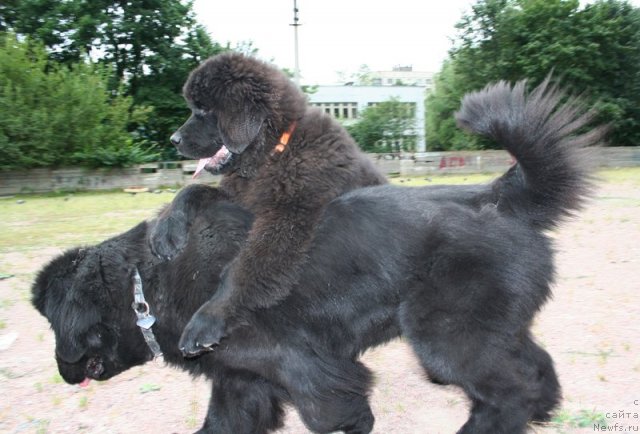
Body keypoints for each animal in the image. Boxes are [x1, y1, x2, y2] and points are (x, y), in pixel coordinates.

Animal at [152, 51, 388, 350]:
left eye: (204, 110)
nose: (174, 139)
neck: (274, 152)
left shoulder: (286, 220)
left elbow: (243, 268)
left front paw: (208, 318)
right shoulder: (240, 196)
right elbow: (190, 190)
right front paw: (165, 231)